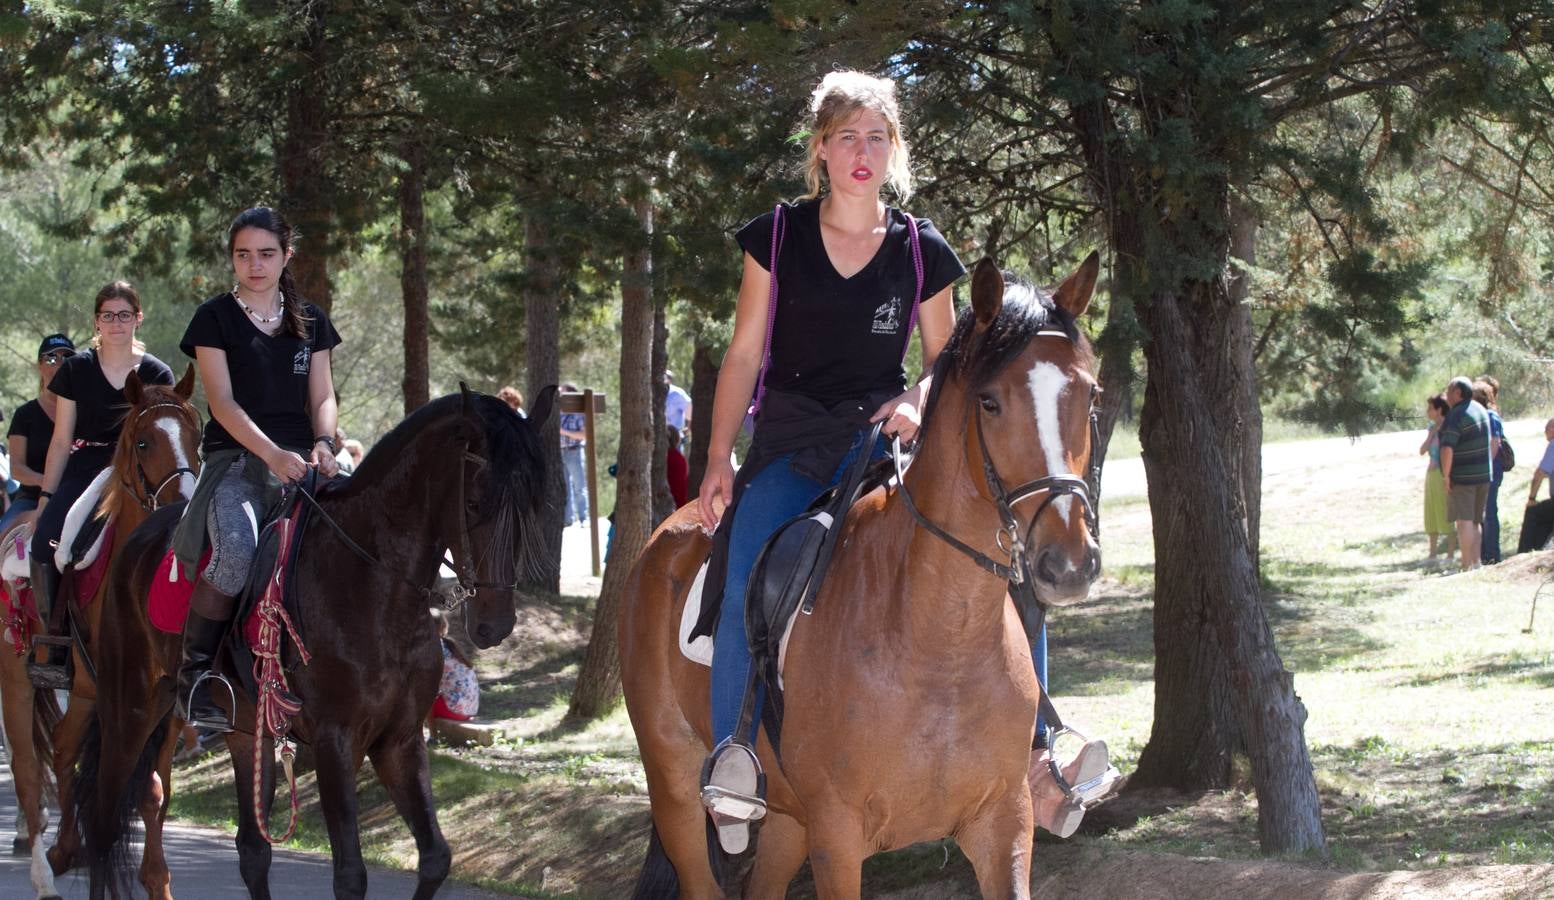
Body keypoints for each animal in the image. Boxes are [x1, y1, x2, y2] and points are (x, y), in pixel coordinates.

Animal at [36, 363, 203, 895]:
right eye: (144, 442)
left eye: (197, 436)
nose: (183, 501)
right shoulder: (117, 693)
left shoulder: (170, 705)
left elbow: (156, 790)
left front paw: (157, 879)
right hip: (84, 687)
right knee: (64, 749)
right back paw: (64, 849)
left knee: (68, 747)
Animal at [75, 388, 559, 900]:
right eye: (473, 503)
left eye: (533, 503)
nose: (494, 624)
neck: (375, 584)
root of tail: (135, 537)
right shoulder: (335, 741)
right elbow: (350, 875)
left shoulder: (399, 741)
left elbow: (435, 858)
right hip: (130, 711)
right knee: (102, 824)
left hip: (244, 729)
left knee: (252, 850)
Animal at [618, 254, 1106, 900]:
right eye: (990, 402)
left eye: (1090, 396)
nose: (1069, 561)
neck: (939, 640)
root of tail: (663, 537)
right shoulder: (838, 836)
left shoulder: (1004, 824)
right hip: (675, 786)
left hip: (788, 820)